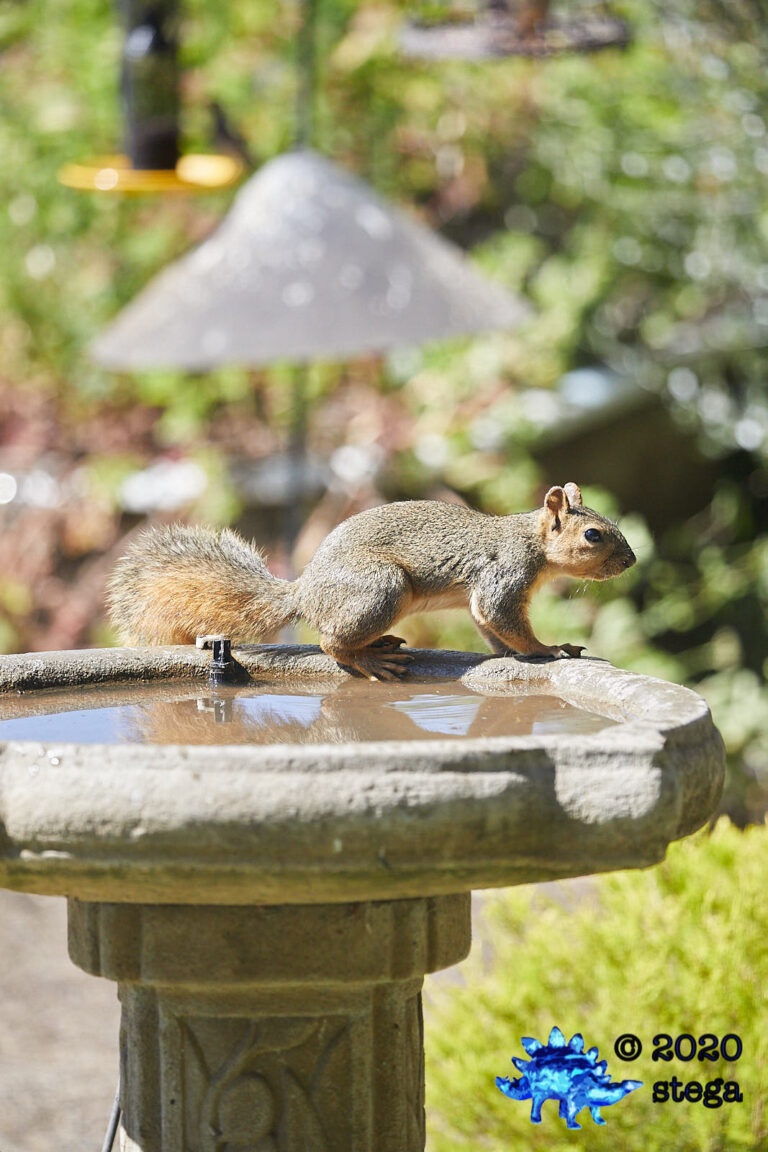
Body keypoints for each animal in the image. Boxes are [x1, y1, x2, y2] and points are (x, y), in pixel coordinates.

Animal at [107, 482, 636, 682]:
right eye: (593, 534)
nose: (631, 561)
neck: (530, 541)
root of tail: (306, 591)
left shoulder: (486, 597)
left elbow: (490, 627)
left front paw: (516, 653)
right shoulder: (505, 575)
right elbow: (503, 618)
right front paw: (550, 650)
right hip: (381, 588)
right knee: (330, 644)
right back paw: (369, 659)